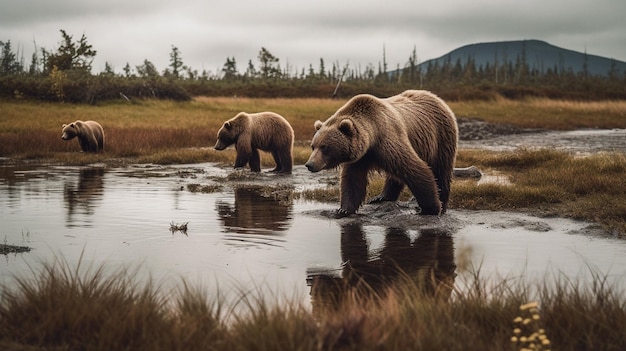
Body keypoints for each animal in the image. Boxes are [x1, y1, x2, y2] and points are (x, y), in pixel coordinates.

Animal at [304, 90, 456, 217]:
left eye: (324, 147)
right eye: (313, 146)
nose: (309, 164)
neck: (372, 137)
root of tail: (437, 98)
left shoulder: (388, 141)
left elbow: (416, 169)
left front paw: (431, 208)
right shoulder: (360, 157)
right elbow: (352, 180)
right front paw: (344, 209)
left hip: (441, 137)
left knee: (442, 171)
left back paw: (443, 204)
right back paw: (381, 197)